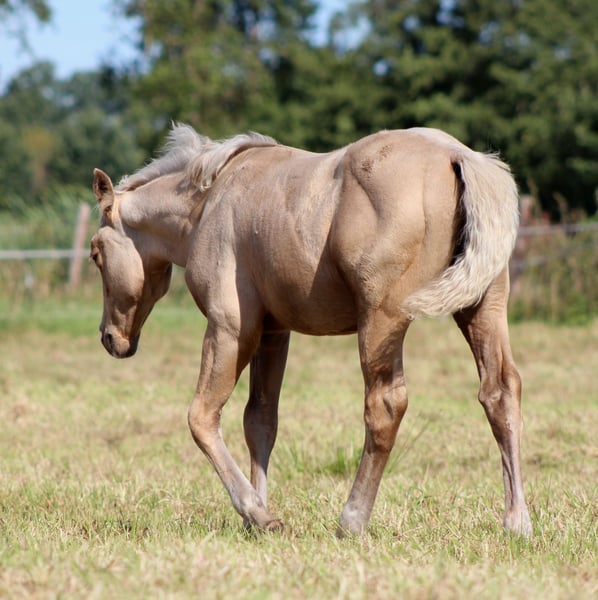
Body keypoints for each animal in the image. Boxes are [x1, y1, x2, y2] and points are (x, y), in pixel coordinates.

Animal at [90, 123, 532, 537]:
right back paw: (517, 522)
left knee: (385, 406)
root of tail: (458, 155)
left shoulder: (230, 328)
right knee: (499, 392)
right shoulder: (273, 334)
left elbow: (202, 417)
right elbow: (260, 421)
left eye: (96, 254)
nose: (110, 338)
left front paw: (256, 513)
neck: (208, 204)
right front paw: (258, 515)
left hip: (382, 320)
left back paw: (351, 520)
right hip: (482, 308)